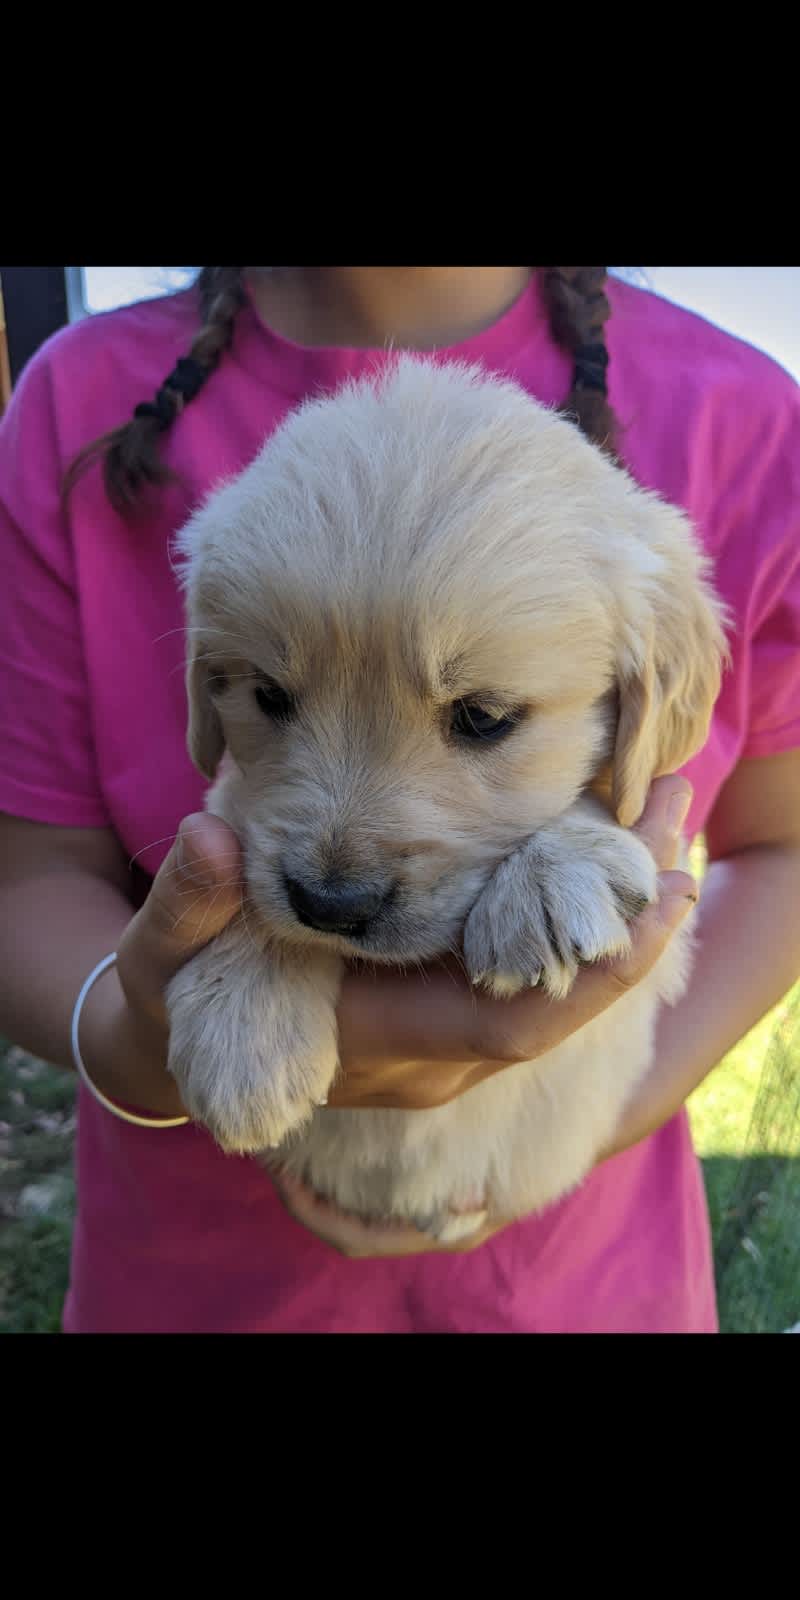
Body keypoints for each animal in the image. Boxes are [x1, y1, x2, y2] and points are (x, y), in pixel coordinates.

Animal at [165, 356, 729, 1241]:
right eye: (267, 695)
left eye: (484, 718)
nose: (329, 904)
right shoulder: (238, 804)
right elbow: (245, 835)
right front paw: (241, 1025)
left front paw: (550, 875)